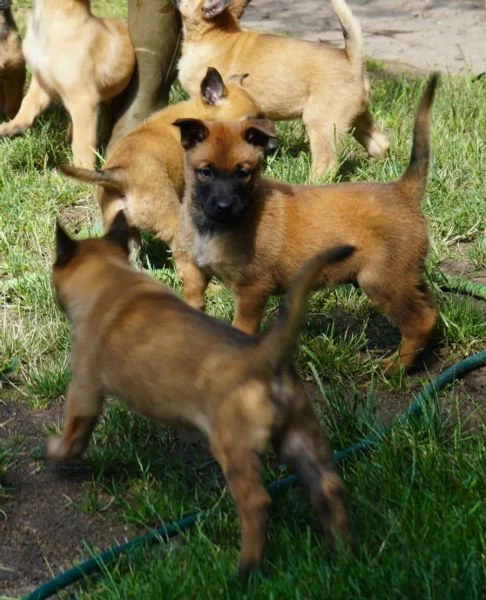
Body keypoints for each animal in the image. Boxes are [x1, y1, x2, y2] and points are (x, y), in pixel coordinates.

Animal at [0, 0, 135, 166]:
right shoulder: (42, 85)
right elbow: (27, 106)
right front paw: (11, 126)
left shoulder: (83, 100)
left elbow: (82, 143)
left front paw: (83, 169)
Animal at [50, 210, 354, 576]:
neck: (111, 278)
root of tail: (264, 353)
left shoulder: (84, 388)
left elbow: (74, 433)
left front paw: (56, 452)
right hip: (299, 436)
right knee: (328, 487)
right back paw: (341, 553)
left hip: (234, 449)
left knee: (257, 504)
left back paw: (245, 571)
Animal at [58, 67, 260, 310]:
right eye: (248, 129)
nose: (271, 144)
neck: (199, 114)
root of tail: (121, 175)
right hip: (173, 224)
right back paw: (210, 289)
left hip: (125, 232)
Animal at [173, 0, 390, 178]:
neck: (212, 34)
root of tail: (352, 60)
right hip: (356, 117)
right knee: (380, 143)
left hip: (322, 124)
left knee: (326, 162)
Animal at [175, 77, 440, 372]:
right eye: (205, 172)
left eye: (243, 173)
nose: (224, 206)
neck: (213, 227)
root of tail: (401, 190)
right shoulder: (196, 268)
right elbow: (193, 299)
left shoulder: (251, 291)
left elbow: (241, 330)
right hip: (406, 276)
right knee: (431, 312)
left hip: (382, 280)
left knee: (419, 322)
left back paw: (395, 367)